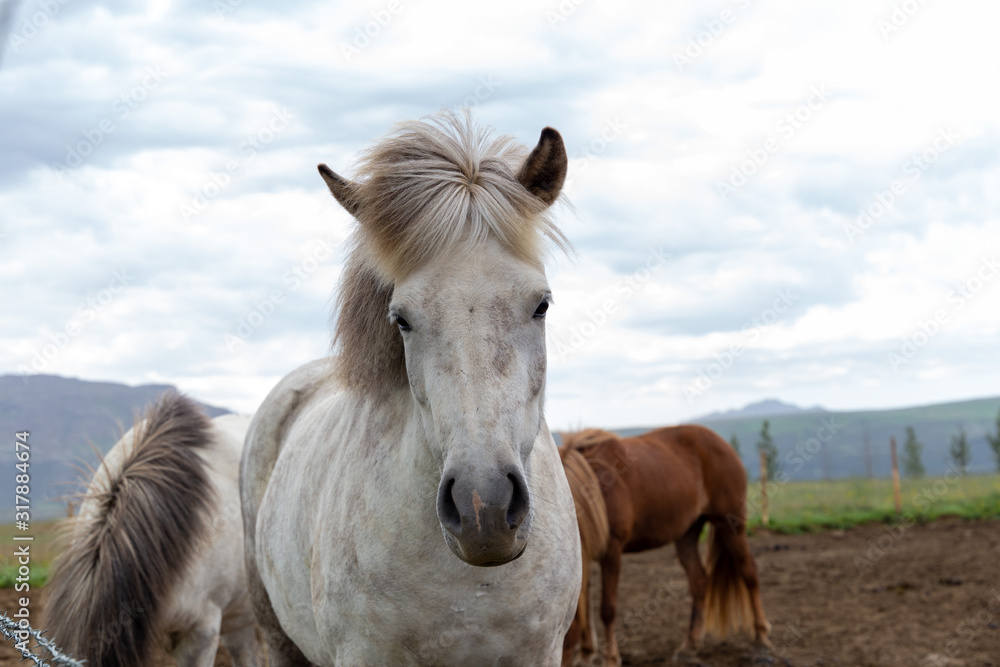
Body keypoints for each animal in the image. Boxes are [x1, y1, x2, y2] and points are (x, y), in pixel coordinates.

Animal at [560, 426, 772, 666]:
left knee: (749, 572)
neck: (594, 483)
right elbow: (585, 607)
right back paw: (690, 646)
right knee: (699, 581)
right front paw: (587, 653)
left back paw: (761, 637)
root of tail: (722, 444)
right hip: (687, 535)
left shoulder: (612, 552)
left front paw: (611, 658)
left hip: (730, 526)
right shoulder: (584, 556)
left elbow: (607, 609)